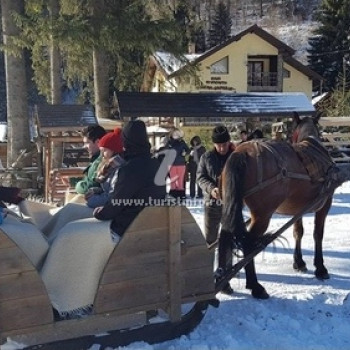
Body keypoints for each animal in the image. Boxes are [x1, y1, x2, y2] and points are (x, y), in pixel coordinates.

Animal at [219, 113, 340, 300]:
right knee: (248, 243)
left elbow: (298, 232)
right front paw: (320, 268)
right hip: (262, 215)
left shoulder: (298, 210)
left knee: (225, 234)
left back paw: (225, 283)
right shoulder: (325, 203)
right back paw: (255, 286)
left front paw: (299, 262)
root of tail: (242, 152)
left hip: (231, 205)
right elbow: (317, 234)